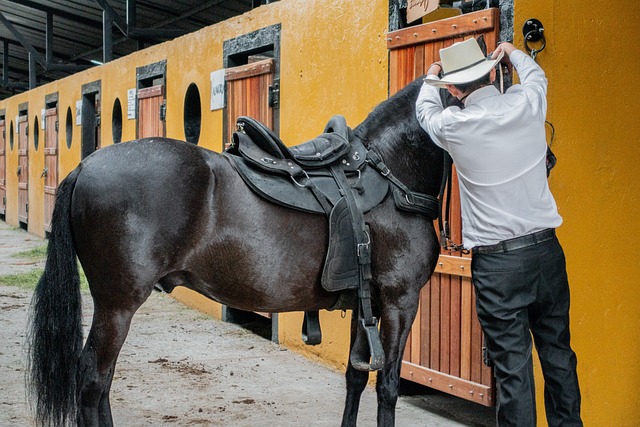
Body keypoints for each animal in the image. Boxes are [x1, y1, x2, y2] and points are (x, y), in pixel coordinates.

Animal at [25, 77, 444, 427]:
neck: (391, 174)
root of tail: (84, 166)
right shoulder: (400, 301)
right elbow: (387, 386)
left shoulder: (366, 303)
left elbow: (356, 378)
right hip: (117, 306)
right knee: (92, 381)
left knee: (104, 382)